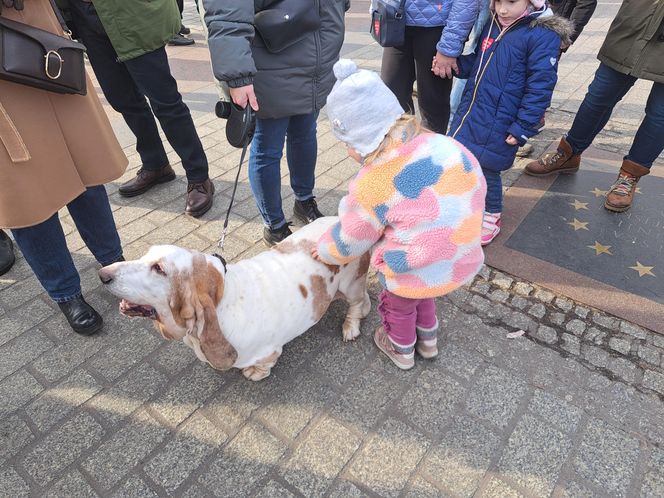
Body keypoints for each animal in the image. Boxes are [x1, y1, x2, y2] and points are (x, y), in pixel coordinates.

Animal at [97, 218, 374, 382]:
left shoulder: (270, 351)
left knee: (358, 303)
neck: (223, 299)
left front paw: (253, 373)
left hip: (351, 284)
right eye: (147, 254)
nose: (102, 275)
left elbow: (264, 365)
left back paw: (350, 327)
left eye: (159, 269)